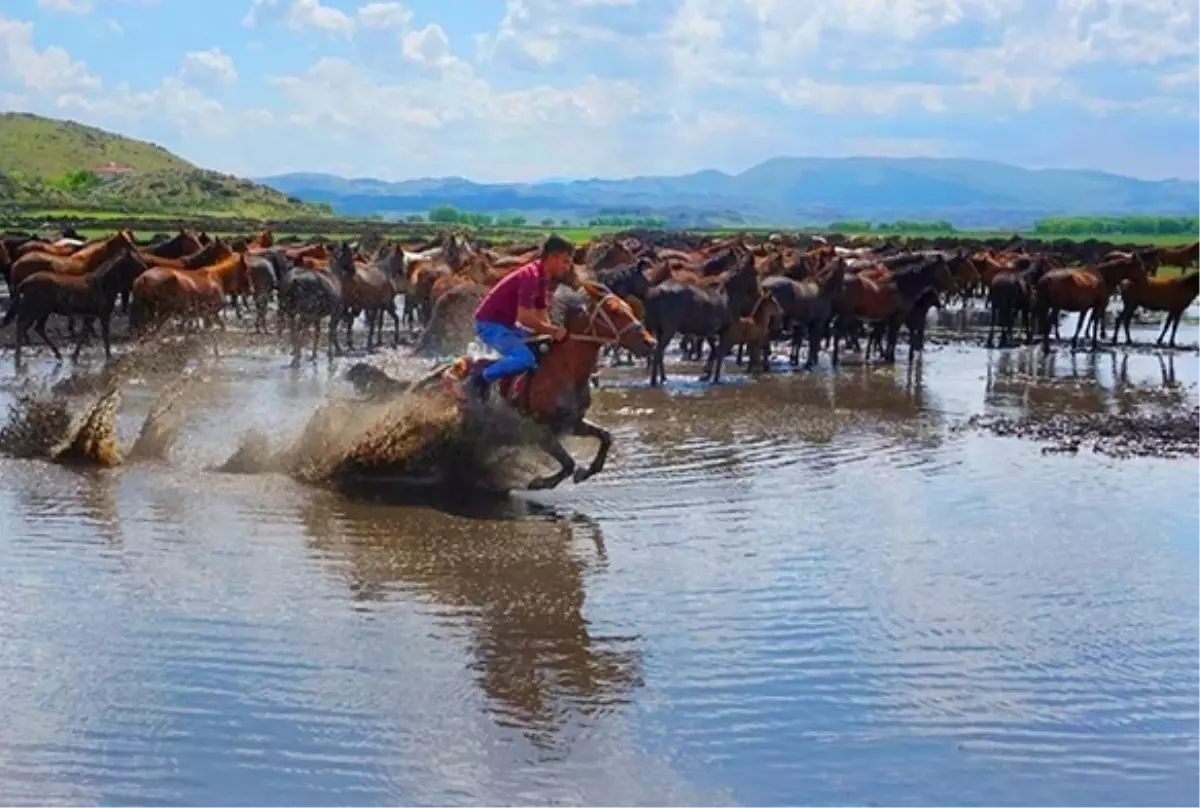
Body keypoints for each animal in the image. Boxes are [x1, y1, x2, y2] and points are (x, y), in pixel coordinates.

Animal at [412, 280, 657, 487]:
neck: (563, 372)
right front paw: (540, 482)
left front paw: (586, 471)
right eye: (614, 311)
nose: (650, 342)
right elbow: (568, 464)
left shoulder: (572, 423)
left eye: (629, 307)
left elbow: (606, 437)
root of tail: (443, 372)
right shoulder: (538, 431)